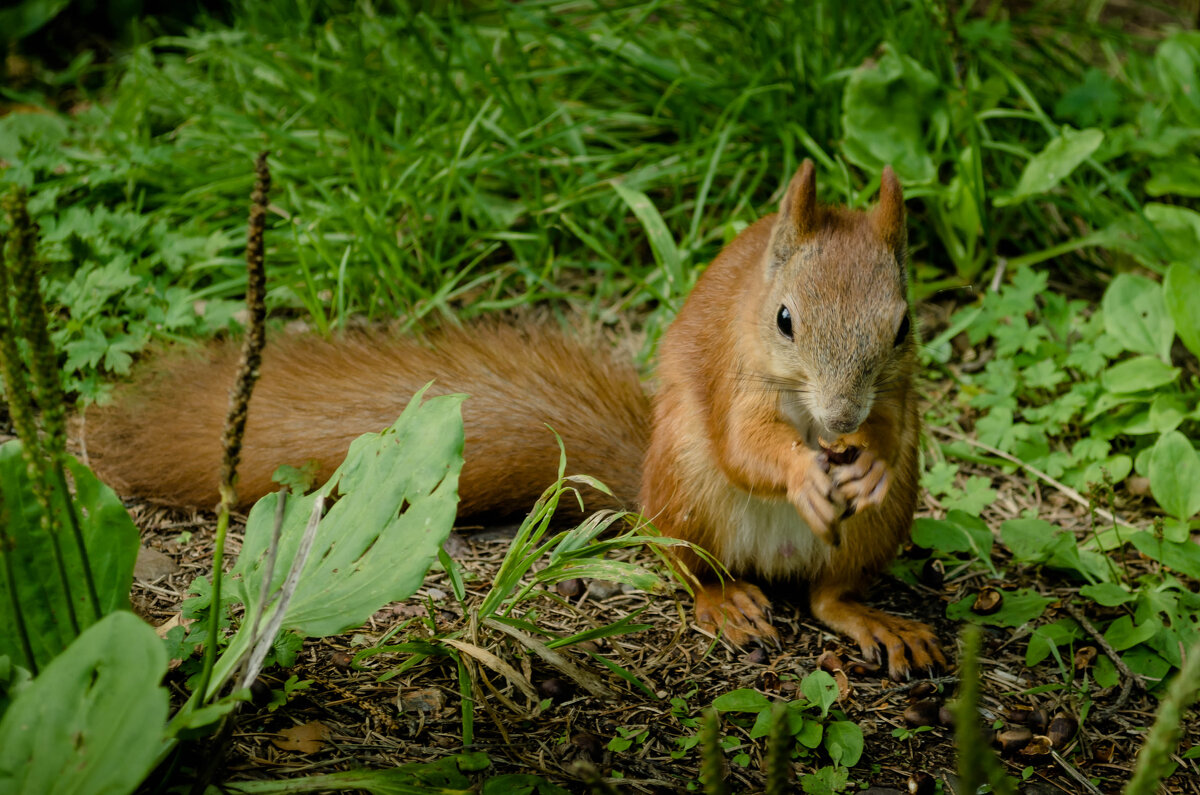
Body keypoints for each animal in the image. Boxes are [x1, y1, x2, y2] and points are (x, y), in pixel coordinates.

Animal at [84, 160, 945, 677]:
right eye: (784, 320)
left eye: (904, 326)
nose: (841, 414)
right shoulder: (734, 381)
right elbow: (748, 445)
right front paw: (801, 469)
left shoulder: (898, 396)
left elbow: (891, 429)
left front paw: (866, 460)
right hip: (687, 487)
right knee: (683, 563)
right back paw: (724, 600)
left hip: (880, 524)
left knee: (828, 596)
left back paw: (871, 615)